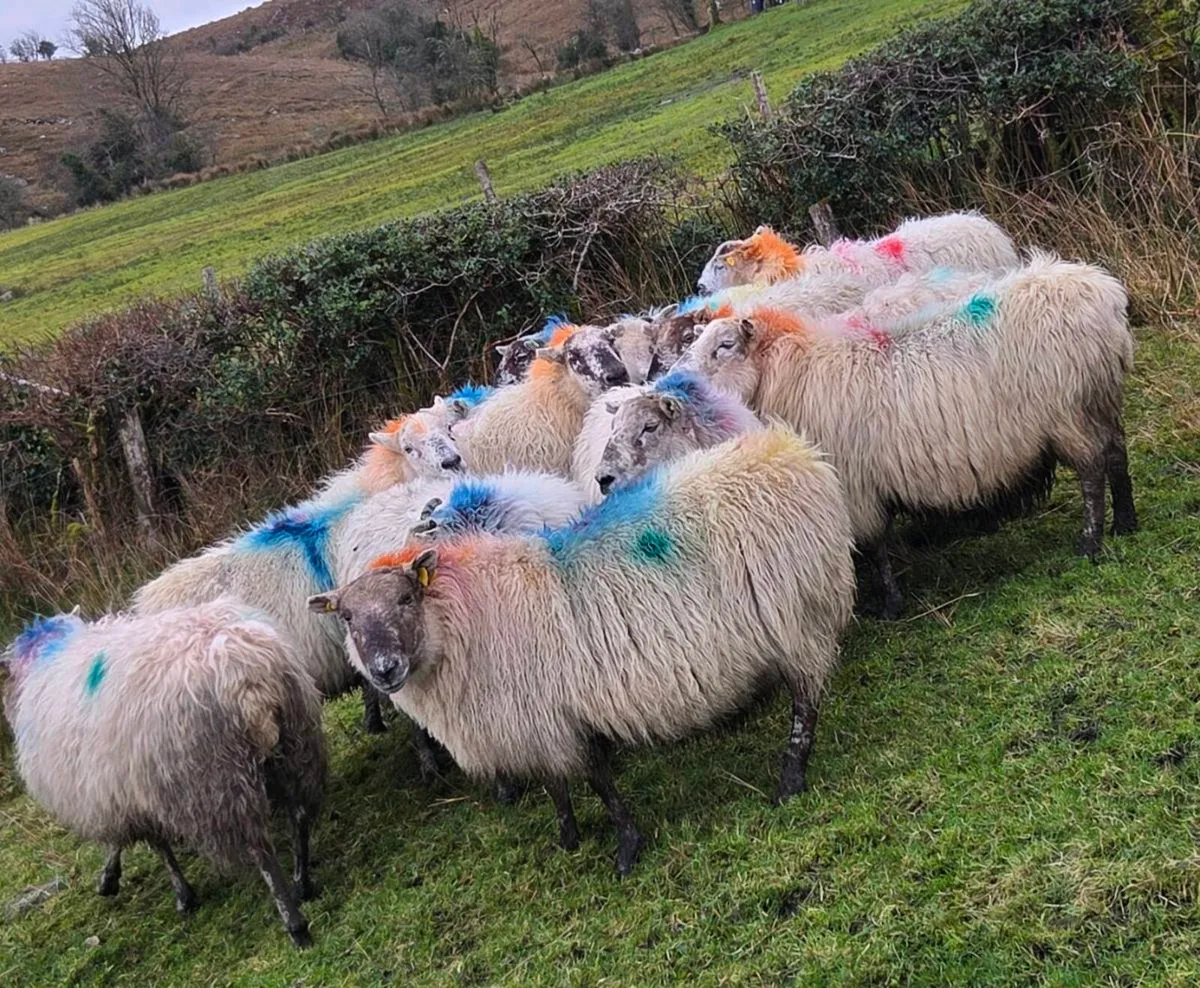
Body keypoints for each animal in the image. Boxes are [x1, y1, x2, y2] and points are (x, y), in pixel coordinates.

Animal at [2, 601, 326, 947]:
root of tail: (246, 678)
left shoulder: (119, 788)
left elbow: (152, 844)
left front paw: (175, 893)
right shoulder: (123, 788)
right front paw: (112, 877)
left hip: (218, 779)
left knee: (261, 850)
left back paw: (294, 923)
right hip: (296, 744)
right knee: (300, 816)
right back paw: (302, 883)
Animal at [310, 425, 856, 876]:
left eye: (405, 598)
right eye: (348, 617)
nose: (384, 670)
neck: (464, 616)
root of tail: (795, 452)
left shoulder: (554, 716)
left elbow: (597, 781)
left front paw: (627, 849)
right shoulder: (536, 722)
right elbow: (557, 786)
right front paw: (568, 839)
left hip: (800, 616)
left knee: (806, 703)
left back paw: (790, 780)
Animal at [677, 253, 1137, 617]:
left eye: (725, 345)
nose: (676, 383)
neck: (791, 372)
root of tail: (1104, 292)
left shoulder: (855, 484)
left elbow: (875, 545)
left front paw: (890, 605)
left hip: (1070, 412)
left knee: (1093, 470)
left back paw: (1090, 542)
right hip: (1100, 401)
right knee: (1117, 456)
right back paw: (1126, 525)